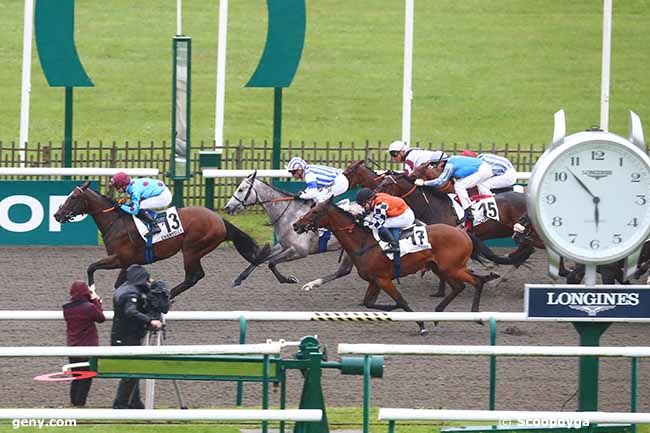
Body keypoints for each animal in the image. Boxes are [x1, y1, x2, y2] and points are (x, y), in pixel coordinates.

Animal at [52, 181, 270, 298]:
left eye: (73, 197)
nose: (56, 215)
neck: (116, 221)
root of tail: (219, 219)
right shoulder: (127, 262)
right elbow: (117, 283)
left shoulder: (120, 259)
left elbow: (91, 268)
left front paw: (93, 293)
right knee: (194, 277)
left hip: (192, 249)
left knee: (194, 276)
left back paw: (169, 296)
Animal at [224, 172, 354, 290]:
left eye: (241, 189)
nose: (227, 207)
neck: (291, 215)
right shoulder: (283, 245)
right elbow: (260, 258)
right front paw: (238, 279)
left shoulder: (299, 251)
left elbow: (271, 263)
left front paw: (289, 279)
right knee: (344, 270)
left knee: (344, 270)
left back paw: (311, 284)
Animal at [292, 199, 498, 334]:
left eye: (315, 211)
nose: (296, 225)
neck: (363, 242)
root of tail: (463, 233)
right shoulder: (374, 280)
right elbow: (368, 303)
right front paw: (391, 309)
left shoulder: (384, 280)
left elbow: (402, 301)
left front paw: (420, 325)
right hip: (440, 268)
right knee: (458, 287)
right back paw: (438, 314)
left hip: (452, 268)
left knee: (477, 282)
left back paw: (475, 315)